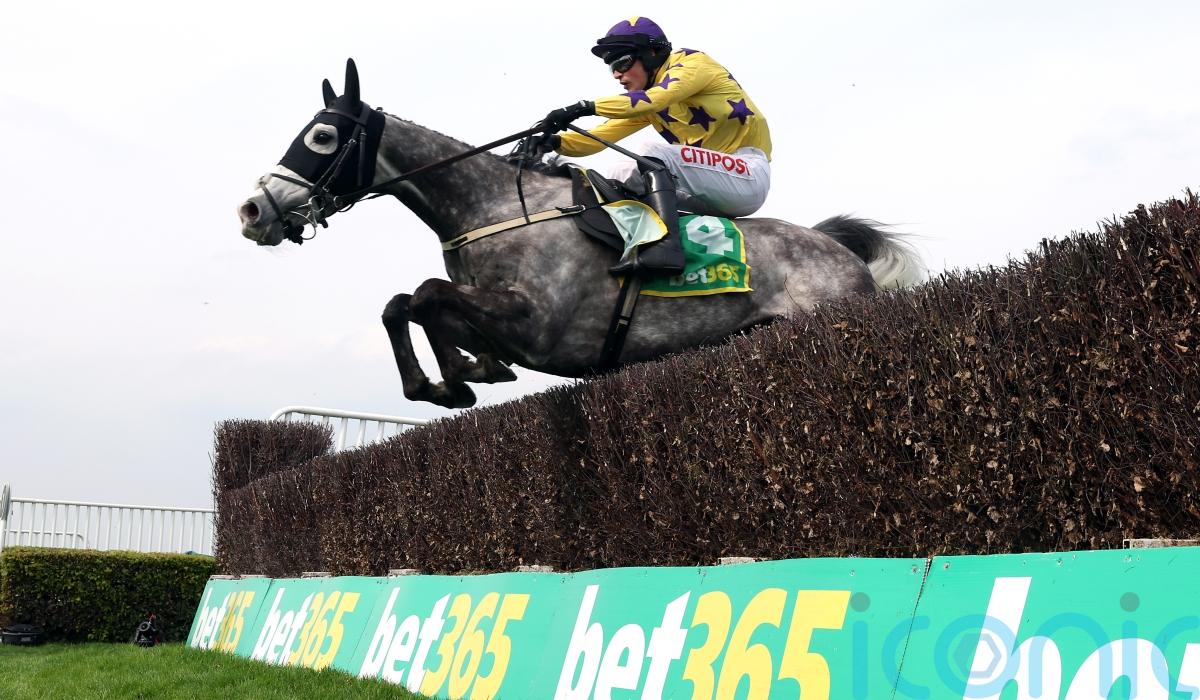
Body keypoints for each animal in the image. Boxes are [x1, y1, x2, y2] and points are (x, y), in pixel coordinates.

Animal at [237, 59, 925, 409]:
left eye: (322, 135)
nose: (252, 211)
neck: (491, 207)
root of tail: (836, 247)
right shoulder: (497, 318)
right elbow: (402, 303)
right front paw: (456, 373)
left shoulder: (539, 326)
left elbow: (427, 293)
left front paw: (454, 379)